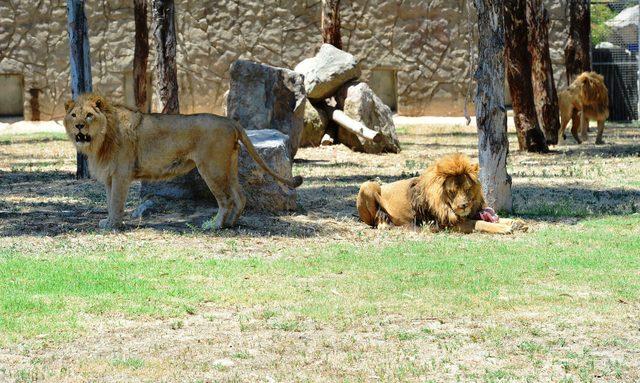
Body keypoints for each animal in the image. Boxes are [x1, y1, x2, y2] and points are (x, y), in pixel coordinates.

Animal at [63, 93, 304, 231]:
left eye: (89, 115)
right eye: (74, 115)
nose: (79, 126)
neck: (100, 140)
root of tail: (230, 121)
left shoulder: (121, 174)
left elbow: (115, 202)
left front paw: (113, 225)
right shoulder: (110, 177)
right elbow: (109, 201)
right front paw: (109, 222)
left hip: (211, 168)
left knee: (226, 199)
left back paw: (214, 225)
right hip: (229, 167)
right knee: (240, 196)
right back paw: (230, 224)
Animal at [356, 154, 520, 234]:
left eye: (467, 189)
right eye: (452, 192)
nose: (463, 206)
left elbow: (491, 219)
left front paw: (516, 222)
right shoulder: (446, 224)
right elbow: (480, 223)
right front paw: (503, 228)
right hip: (368, 185)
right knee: (375, 221)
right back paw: (385, 224)